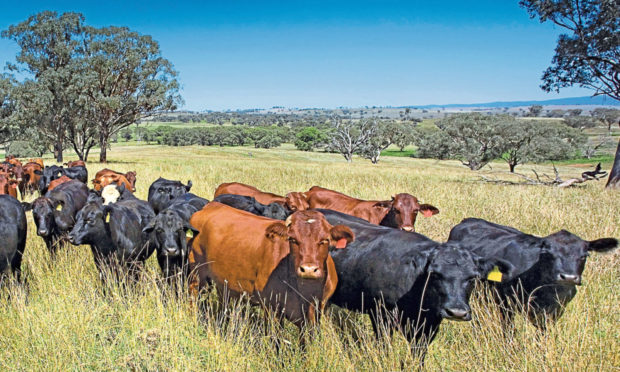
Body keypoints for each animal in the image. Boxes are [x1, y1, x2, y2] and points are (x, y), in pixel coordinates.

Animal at [189, 202, 354, 332]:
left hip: (224, 284)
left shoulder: (316, 314)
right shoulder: (271, 310)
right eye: (293, 239)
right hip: (197, 275)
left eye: (325, 240)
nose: (308, 269)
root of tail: (211, 206)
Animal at [314, 209, 512, 360]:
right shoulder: (380, 315)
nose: (457, 312)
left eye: (472, 278)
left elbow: (419, 354)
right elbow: (384, 347)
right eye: (435, 274)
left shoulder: (429, 325)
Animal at [448, 219, 616, 330]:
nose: (568, 277)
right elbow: (508, 330)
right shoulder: (505, 303)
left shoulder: (555, 311)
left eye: (584, 255)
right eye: (547, 253)